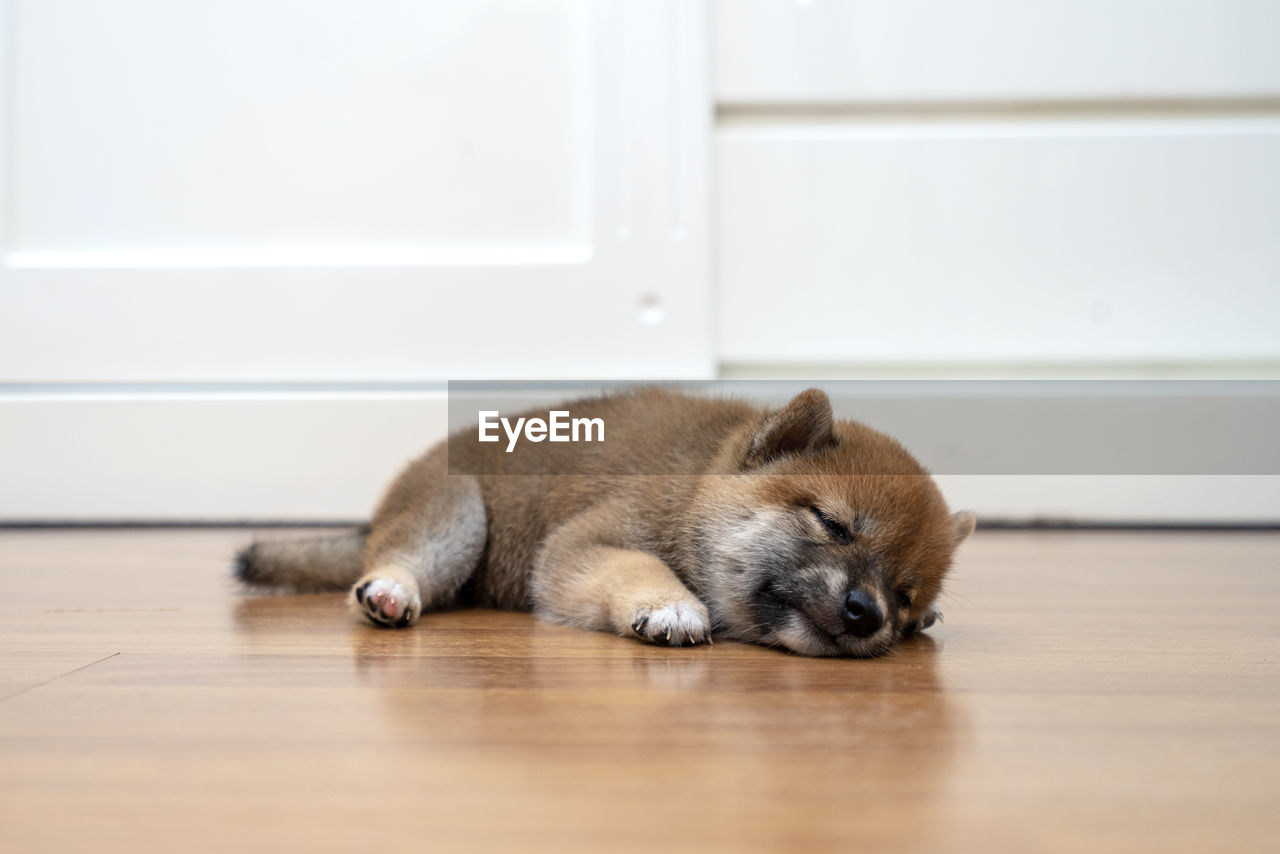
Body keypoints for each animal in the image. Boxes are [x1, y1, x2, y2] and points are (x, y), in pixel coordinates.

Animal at [235, 389, 972, 660]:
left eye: (906, 597)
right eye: (834, 525)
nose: (867, 614)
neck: (697, 484)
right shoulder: (586, 544)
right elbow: (638, 566)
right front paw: (670, 604)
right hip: (458, 511)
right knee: (401, 558)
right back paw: (391, 589)